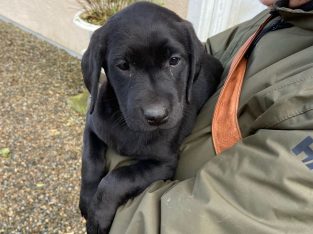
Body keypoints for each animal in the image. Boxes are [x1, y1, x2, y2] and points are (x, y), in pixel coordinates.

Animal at [80, 1, 222, 232]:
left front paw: (97, 216)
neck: (125, 124)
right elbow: (90, 162)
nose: (157, 116)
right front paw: (86, 200)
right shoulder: (92, 126)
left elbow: (119, 178)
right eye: (123, 65)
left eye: (174, 60)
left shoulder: (164, 164)